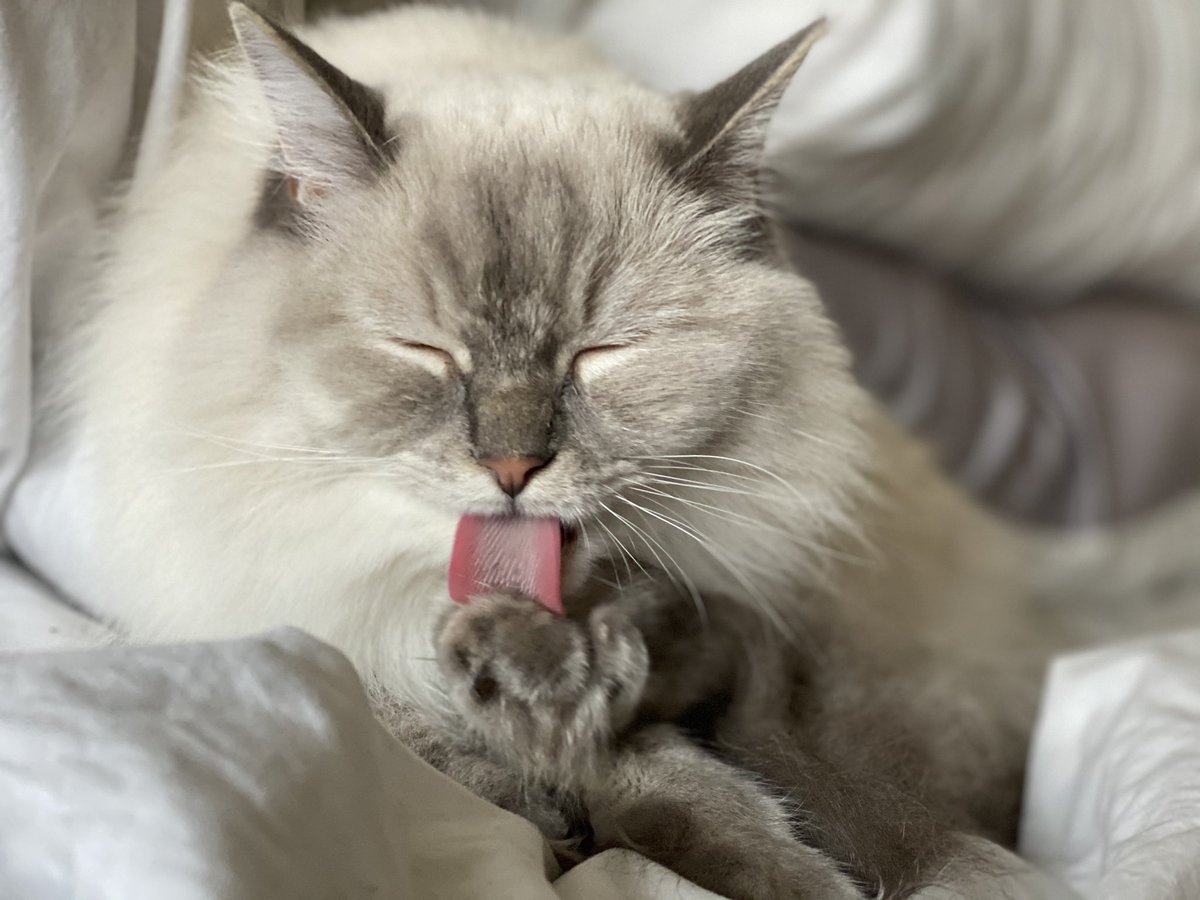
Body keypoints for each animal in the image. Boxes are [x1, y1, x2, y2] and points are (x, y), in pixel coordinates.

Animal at [60, 3, 1200, 897]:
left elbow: (691, 789)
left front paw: (783, 872)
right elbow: (492, 760)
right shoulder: (315, 621)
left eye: (602, 356)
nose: (511, 470)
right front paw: (549, 799)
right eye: (427, 353)